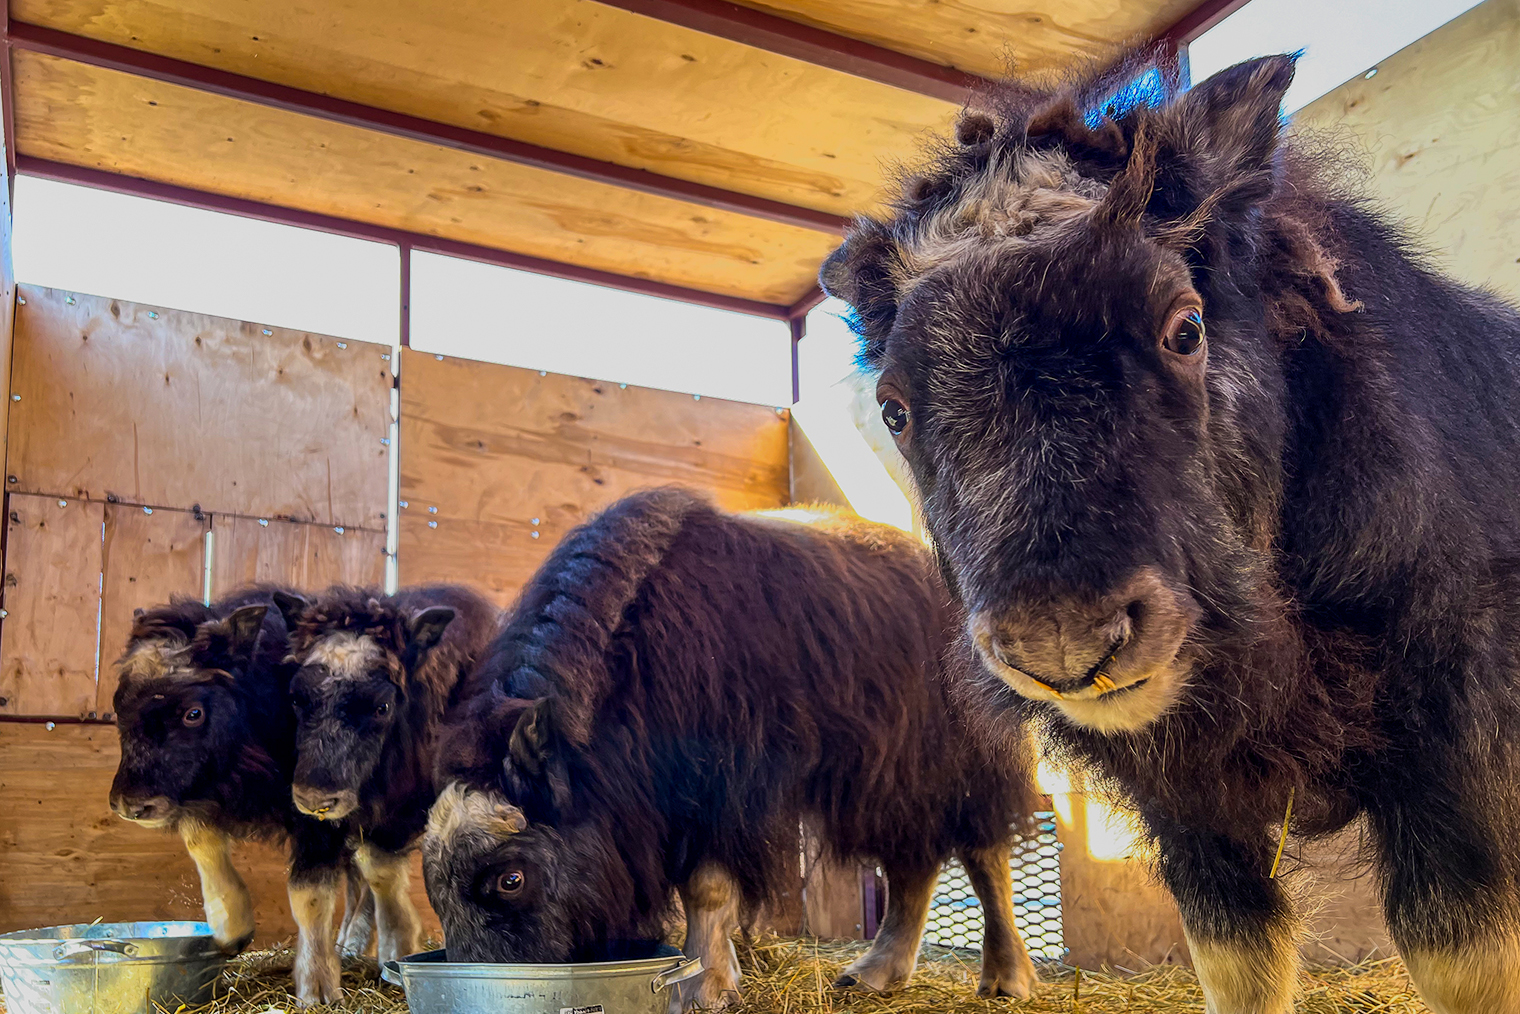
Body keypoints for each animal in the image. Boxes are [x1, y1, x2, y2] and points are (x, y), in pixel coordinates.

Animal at [428, 486, 1045, 1009]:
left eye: (511, 879)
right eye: (436, 891)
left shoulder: (723, 791)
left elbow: (706, 887)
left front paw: (701, 988)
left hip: (959, 756)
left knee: (984, 851)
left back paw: (1006, 979)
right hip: (888, 778)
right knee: (913, 861)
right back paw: (873, 972)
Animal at [820, 53, 1520, 1014]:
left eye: (1185, 328)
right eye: (894, 408)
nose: (1063, 644)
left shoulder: (1448, 749)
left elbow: (1464, 959)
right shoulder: (1189, 810)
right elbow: (1238, 964)